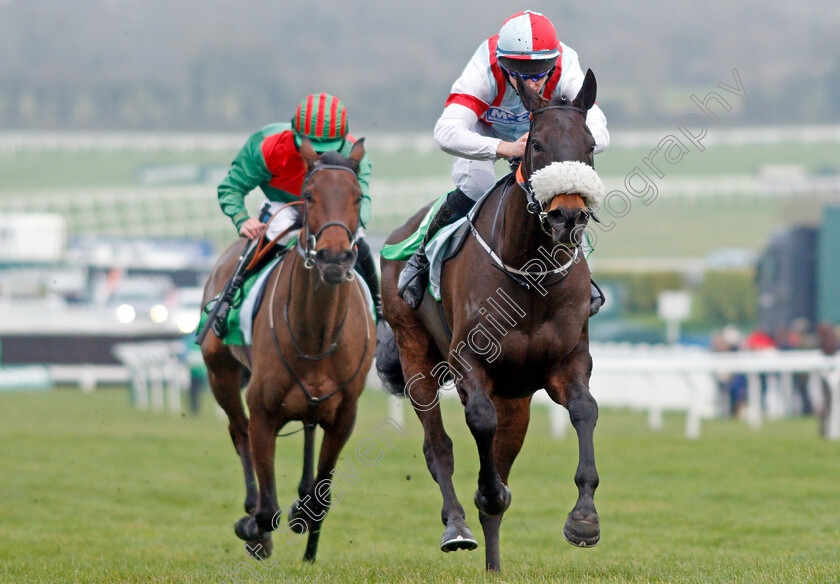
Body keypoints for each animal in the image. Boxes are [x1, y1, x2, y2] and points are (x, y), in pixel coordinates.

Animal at [199, 137, 374, 560]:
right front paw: (254, 527)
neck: (316, 335)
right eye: (309, 196)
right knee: (239, 430)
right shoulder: (263, 408)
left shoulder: (344, 414)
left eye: (358, 196)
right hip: (219, 372)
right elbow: (267, 509)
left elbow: (319, 498)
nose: (333, 256)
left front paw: (305, 521)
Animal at [378, 72, 604, 572]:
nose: (568, 215)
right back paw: (457, 525)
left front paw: (584, 518)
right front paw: (486, 494)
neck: (531, 274)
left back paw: (495, 563)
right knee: (437, 447)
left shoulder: (567, 364)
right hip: (414, 351)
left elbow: (585, 410)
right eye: (536, 144)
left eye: (590, 145)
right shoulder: (468, 363)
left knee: (503, 449)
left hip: (515, 395)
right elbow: (479, 424)